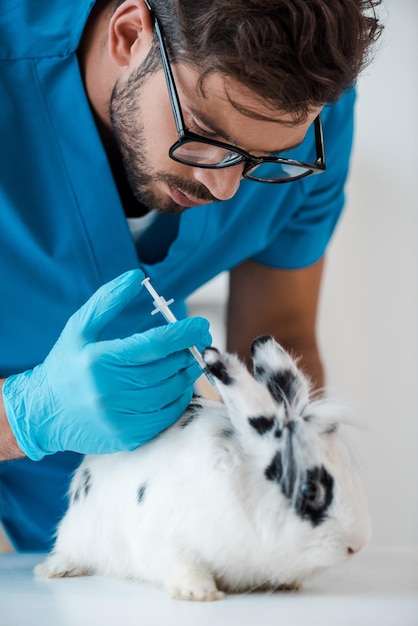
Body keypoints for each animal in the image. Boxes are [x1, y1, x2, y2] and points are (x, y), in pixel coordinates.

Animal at [35, 334, 370, 596]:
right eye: (310, 489)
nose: (357, 545)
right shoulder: (163, 543)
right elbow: (183, 566)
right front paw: (200, 593)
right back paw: (52, 569)